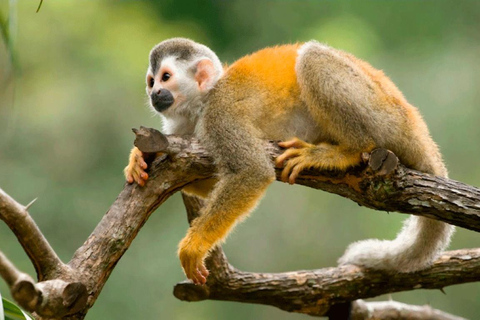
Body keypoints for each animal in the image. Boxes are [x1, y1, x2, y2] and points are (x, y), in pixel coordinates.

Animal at [124, 38, 454, 284]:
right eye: (151, 81)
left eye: (166, 78)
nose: (155, 94)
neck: (201, 104)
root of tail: (414, 122)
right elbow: (208, 179)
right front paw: (139, 158)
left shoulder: (220, 115)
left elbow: (252, 171)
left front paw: (195, 246)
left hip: (385, 115)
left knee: (312, 58)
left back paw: (346, 151)